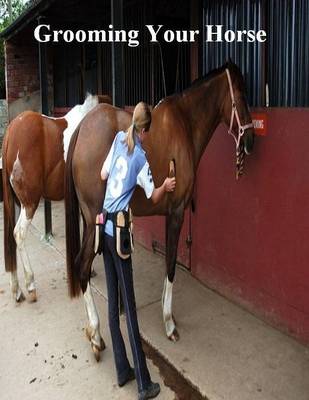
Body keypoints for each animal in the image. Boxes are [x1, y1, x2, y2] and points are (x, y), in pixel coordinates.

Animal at [0, 94, 110, 304]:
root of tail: (11, 131)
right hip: (29, 203)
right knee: (18, 234)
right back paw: (30, 285)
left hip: (16, 203)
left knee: (10, 237)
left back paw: (16, 290)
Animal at [63, 61, 254, 360]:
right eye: (242, 95)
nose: (251, 140)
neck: (185, 123)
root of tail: (83, 128)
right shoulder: (176, 213)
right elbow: (172, 264)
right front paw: (169, 323)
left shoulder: (168, 214)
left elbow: (169, 262)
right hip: (94, 220)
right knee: (82, 265)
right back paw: (95, 335)